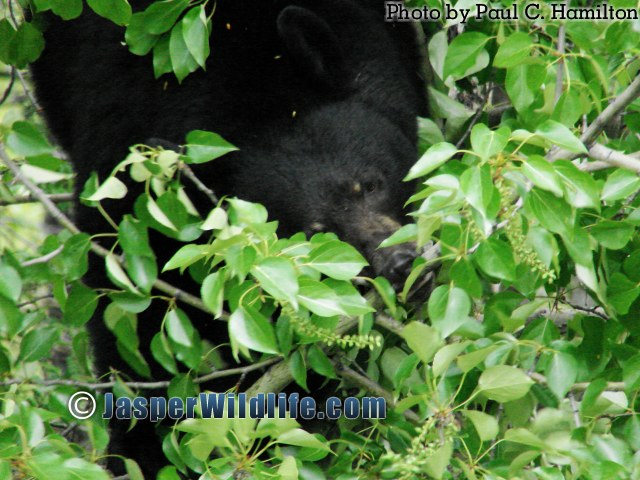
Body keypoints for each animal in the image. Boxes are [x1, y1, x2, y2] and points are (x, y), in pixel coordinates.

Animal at [30, 0, 427, 475]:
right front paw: (144, 447)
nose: (400, 264)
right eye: (315, 236)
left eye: (369, 184)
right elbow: (132, 315)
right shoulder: (120, 172)